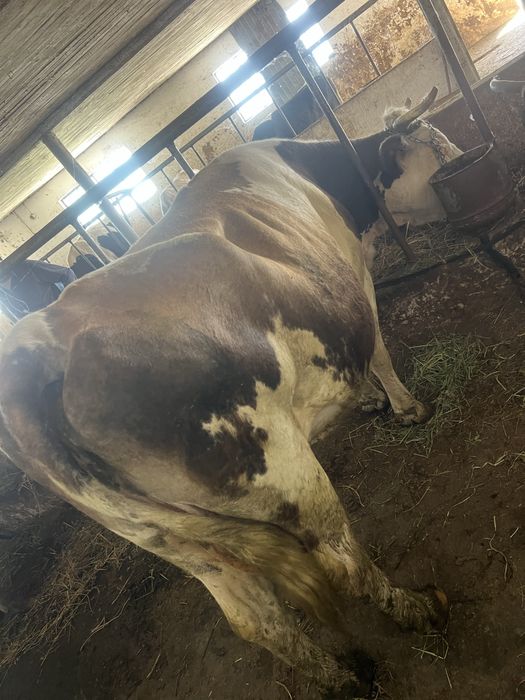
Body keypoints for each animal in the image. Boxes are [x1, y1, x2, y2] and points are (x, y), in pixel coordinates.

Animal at [0, 88, 456, 696]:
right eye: (433, 142)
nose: (462, 154)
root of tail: (37, 346)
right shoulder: (354, 278)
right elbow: (378, 350)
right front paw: (407, 408)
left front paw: (369, 401)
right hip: (284, 471)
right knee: (342, 562)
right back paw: (417, 609)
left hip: (179, 541)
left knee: (252, 618)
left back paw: (344, 678)